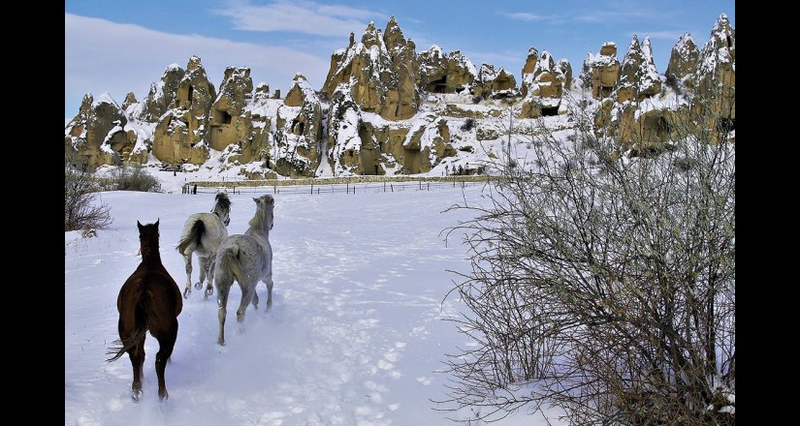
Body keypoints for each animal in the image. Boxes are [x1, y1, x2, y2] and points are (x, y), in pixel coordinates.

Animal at [107, 221, 184, 402]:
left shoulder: (140, 331)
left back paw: (137, 389)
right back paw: (162, 394)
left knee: (135, 355)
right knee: (160, 359)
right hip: (168, 331)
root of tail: (143, 291)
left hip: (127, 329)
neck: (151, 264)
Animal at [212, 195, 276, 344]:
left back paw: (221, 341)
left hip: (223, 283)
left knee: (222, 312)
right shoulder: (266, 274)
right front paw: (268, 308)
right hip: (247, 286)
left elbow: (255, 300)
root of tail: (232, 249)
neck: (259, 231)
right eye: (273, 206)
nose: (272, 225)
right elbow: (270, 285)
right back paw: (243, 334)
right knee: (240, 312)